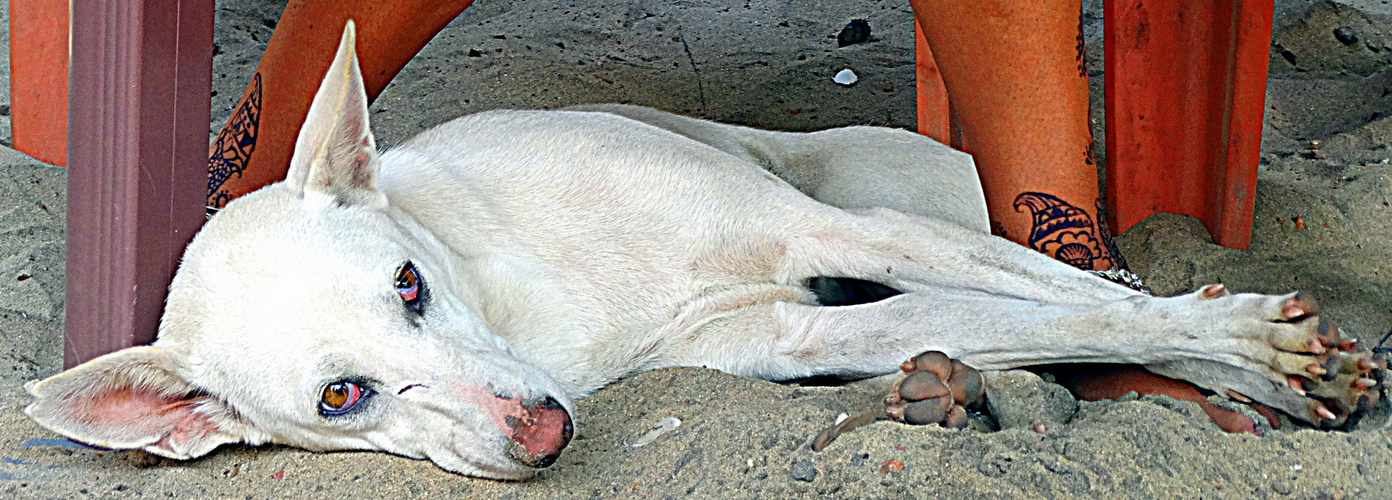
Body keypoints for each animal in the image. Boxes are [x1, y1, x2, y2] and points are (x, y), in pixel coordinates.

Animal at [21, 21, 1380, 479]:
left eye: (409, 284)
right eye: (340, 396)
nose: (543, 433)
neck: (527, 293)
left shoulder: (840, 232)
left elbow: (1092, 293)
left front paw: (1252, 344)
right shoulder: (798, 327)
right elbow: (1064, 315)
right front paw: (1257, 356)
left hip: (900, 193)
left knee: (1065, 267)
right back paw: (944, 391)